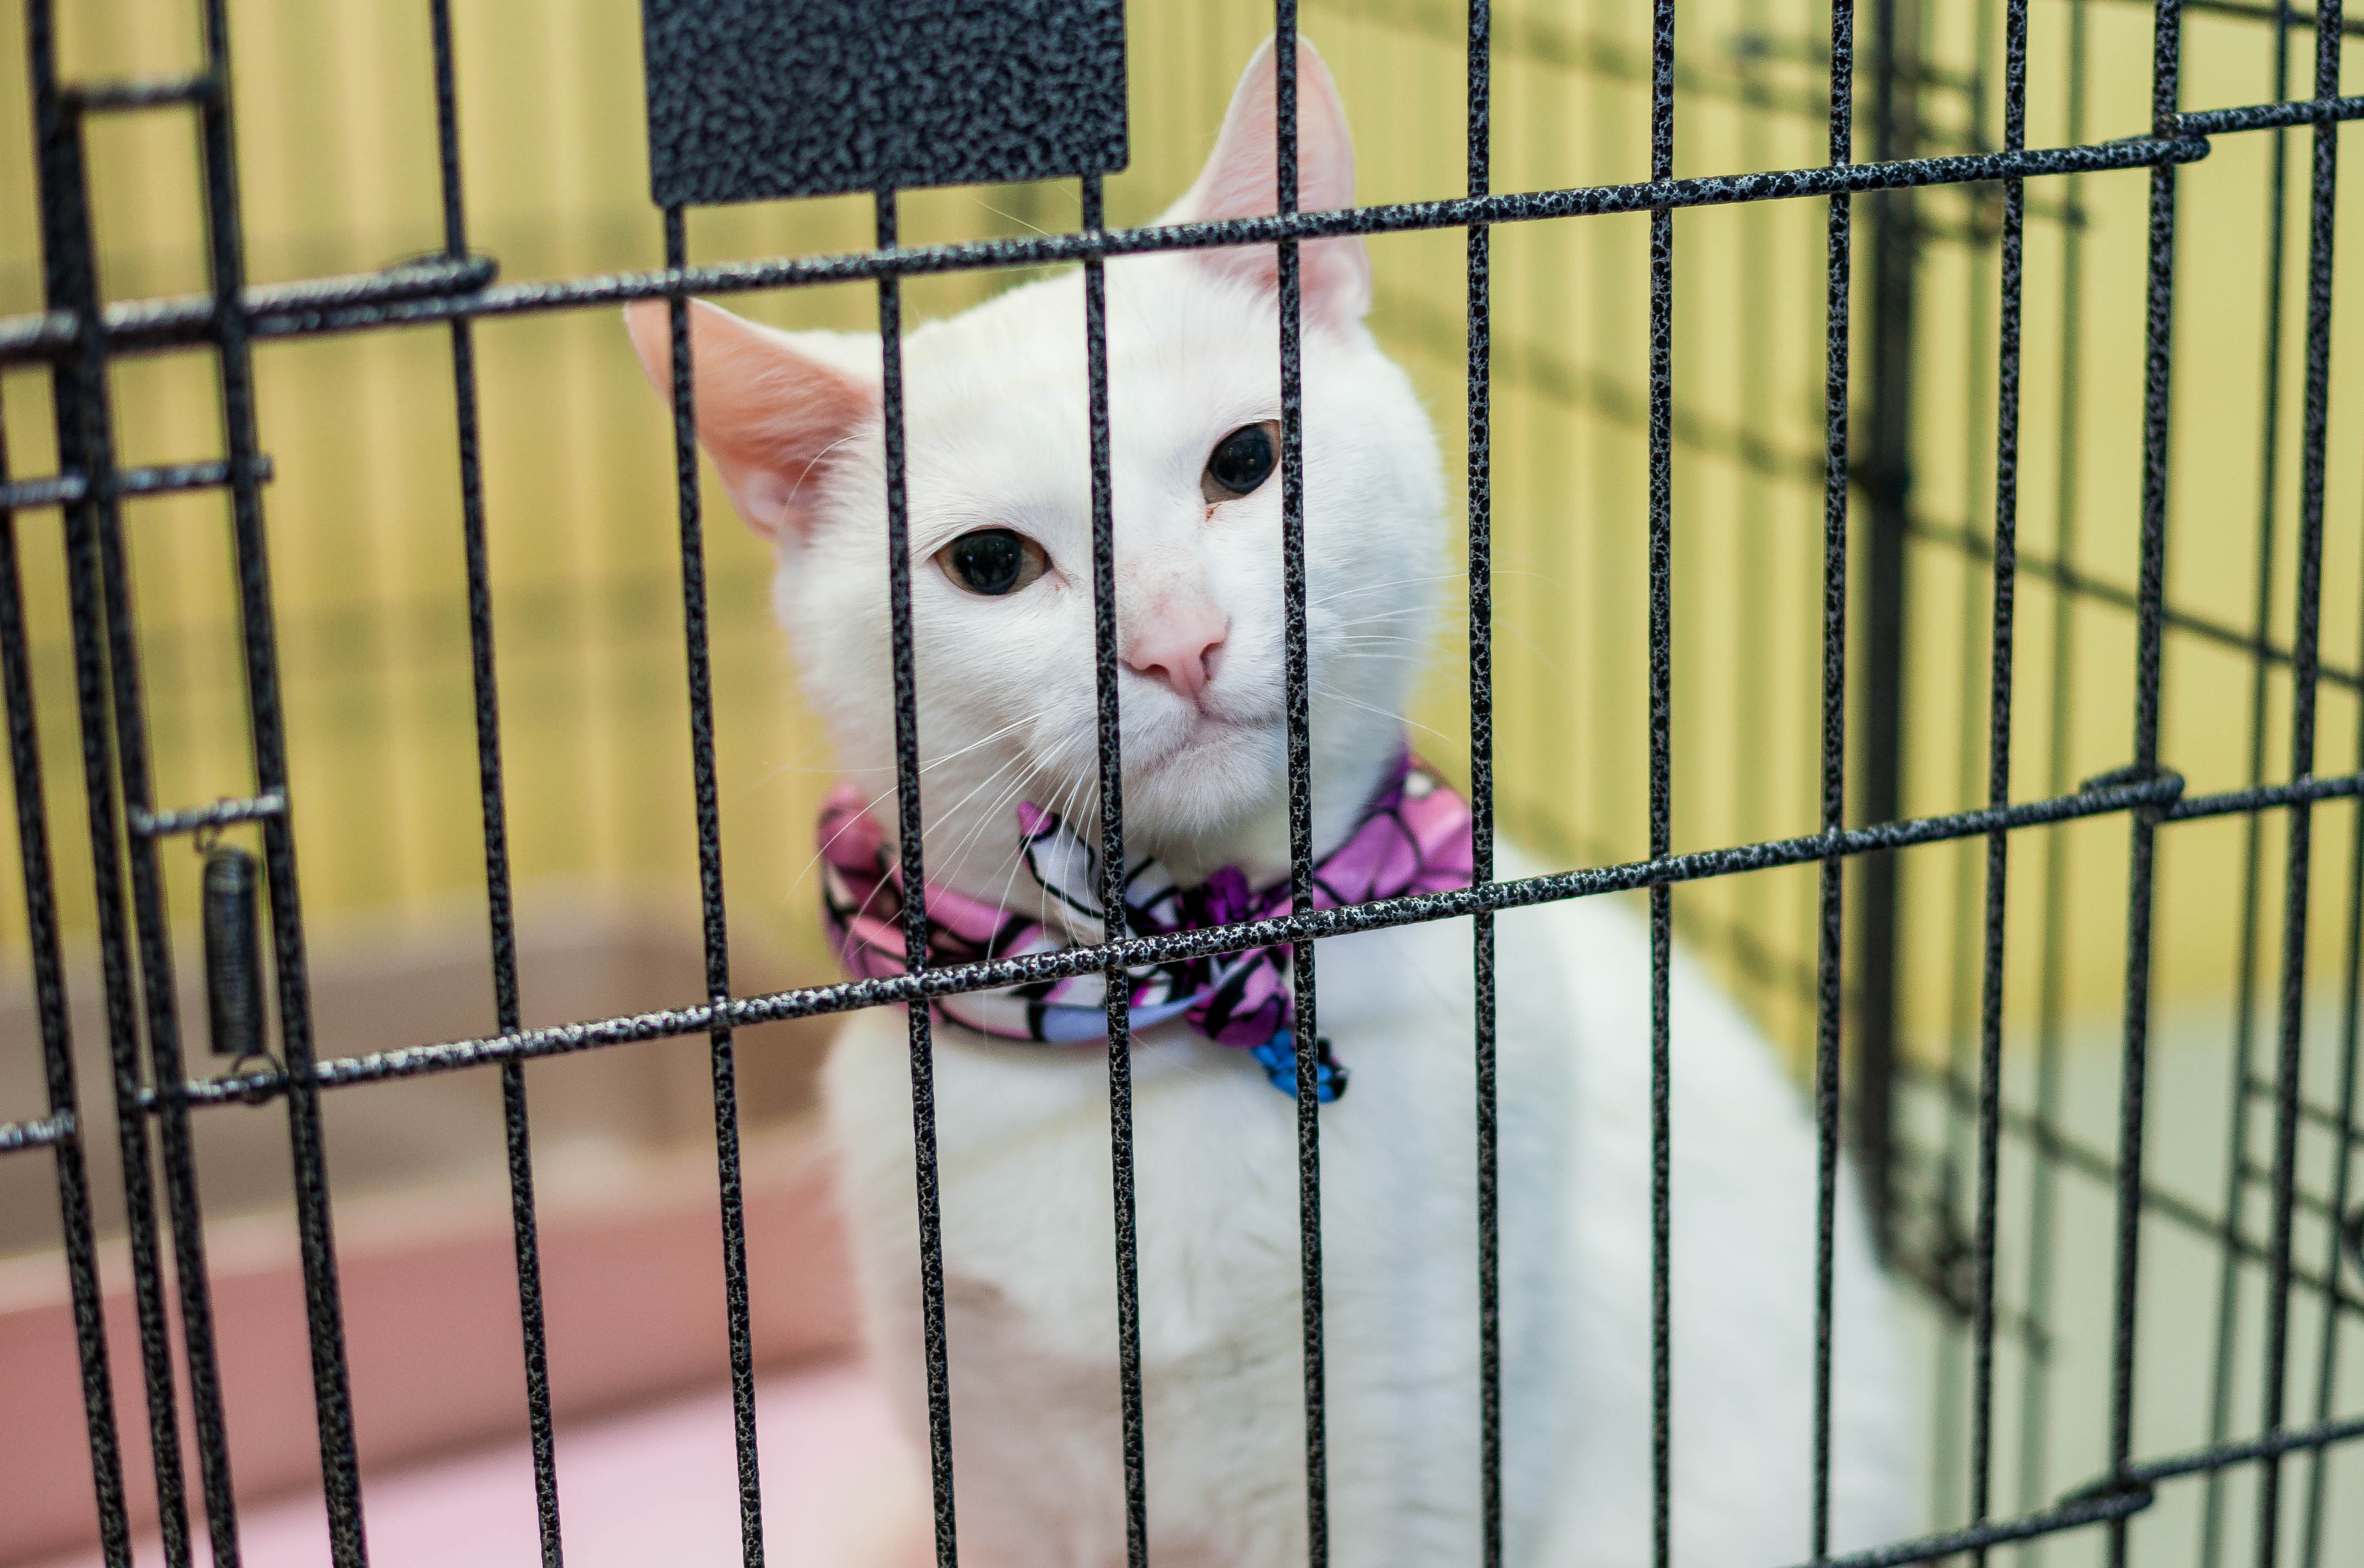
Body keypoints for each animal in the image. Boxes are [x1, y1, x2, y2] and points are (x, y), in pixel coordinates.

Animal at [626, 36, 1909, 1568]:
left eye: (1245, 461)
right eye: (989, 562)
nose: (1175, 639)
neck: (1171, 1020)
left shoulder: (1419, 1433)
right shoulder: (993, 1476)